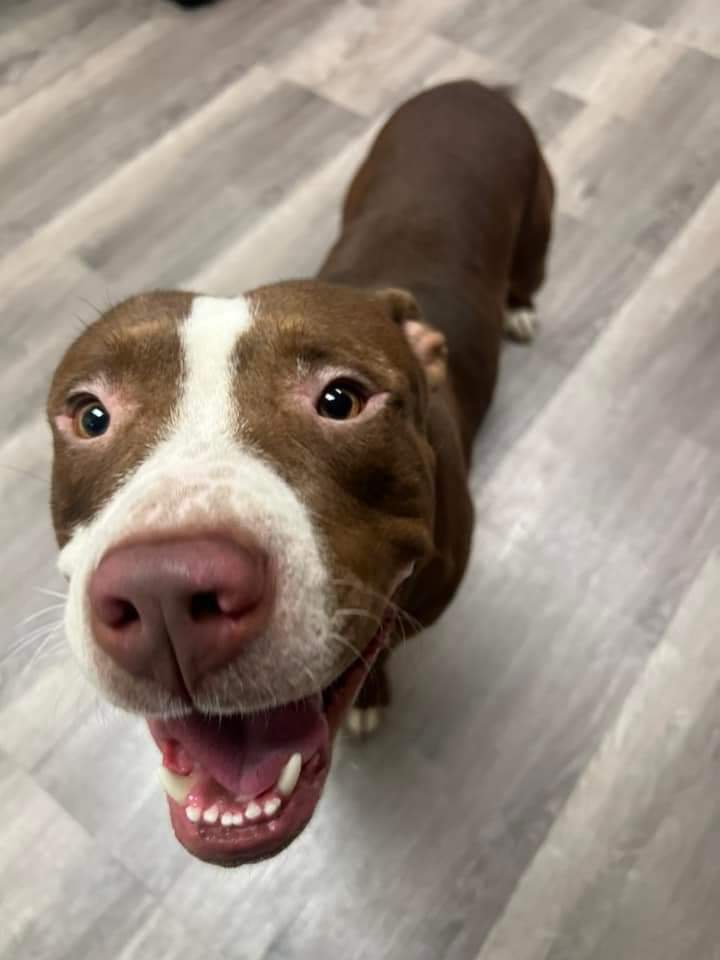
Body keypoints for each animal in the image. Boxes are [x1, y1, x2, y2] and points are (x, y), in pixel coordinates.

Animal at [46, 79, 552, 868]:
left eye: (341, 399)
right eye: (90, 414)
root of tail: (471, 87)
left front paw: (370, 697)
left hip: (537, 216)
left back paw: (523, 308)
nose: (164, 593)